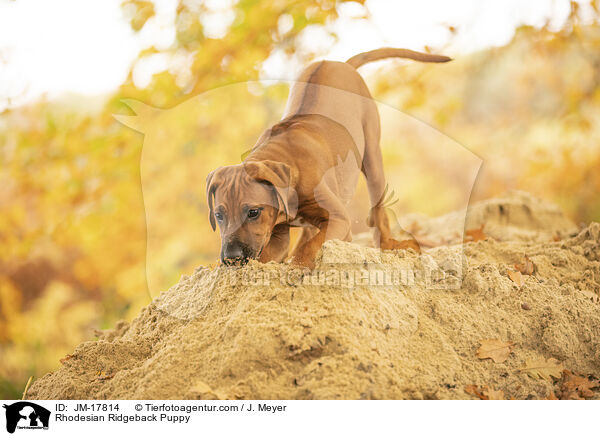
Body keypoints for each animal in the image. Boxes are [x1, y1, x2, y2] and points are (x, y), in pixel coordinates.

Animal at [206, 46, 450, 266]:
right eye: (219, 215)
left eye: (253, 212)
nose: (231, 259)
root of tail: (341, 63)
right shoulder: (275, 233)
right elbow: (274, 253)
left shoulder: (338, 220)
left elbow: (310, 246)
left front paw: (298, 266)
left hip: (372, 155)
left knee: (378, 210)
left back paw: (389, 245)